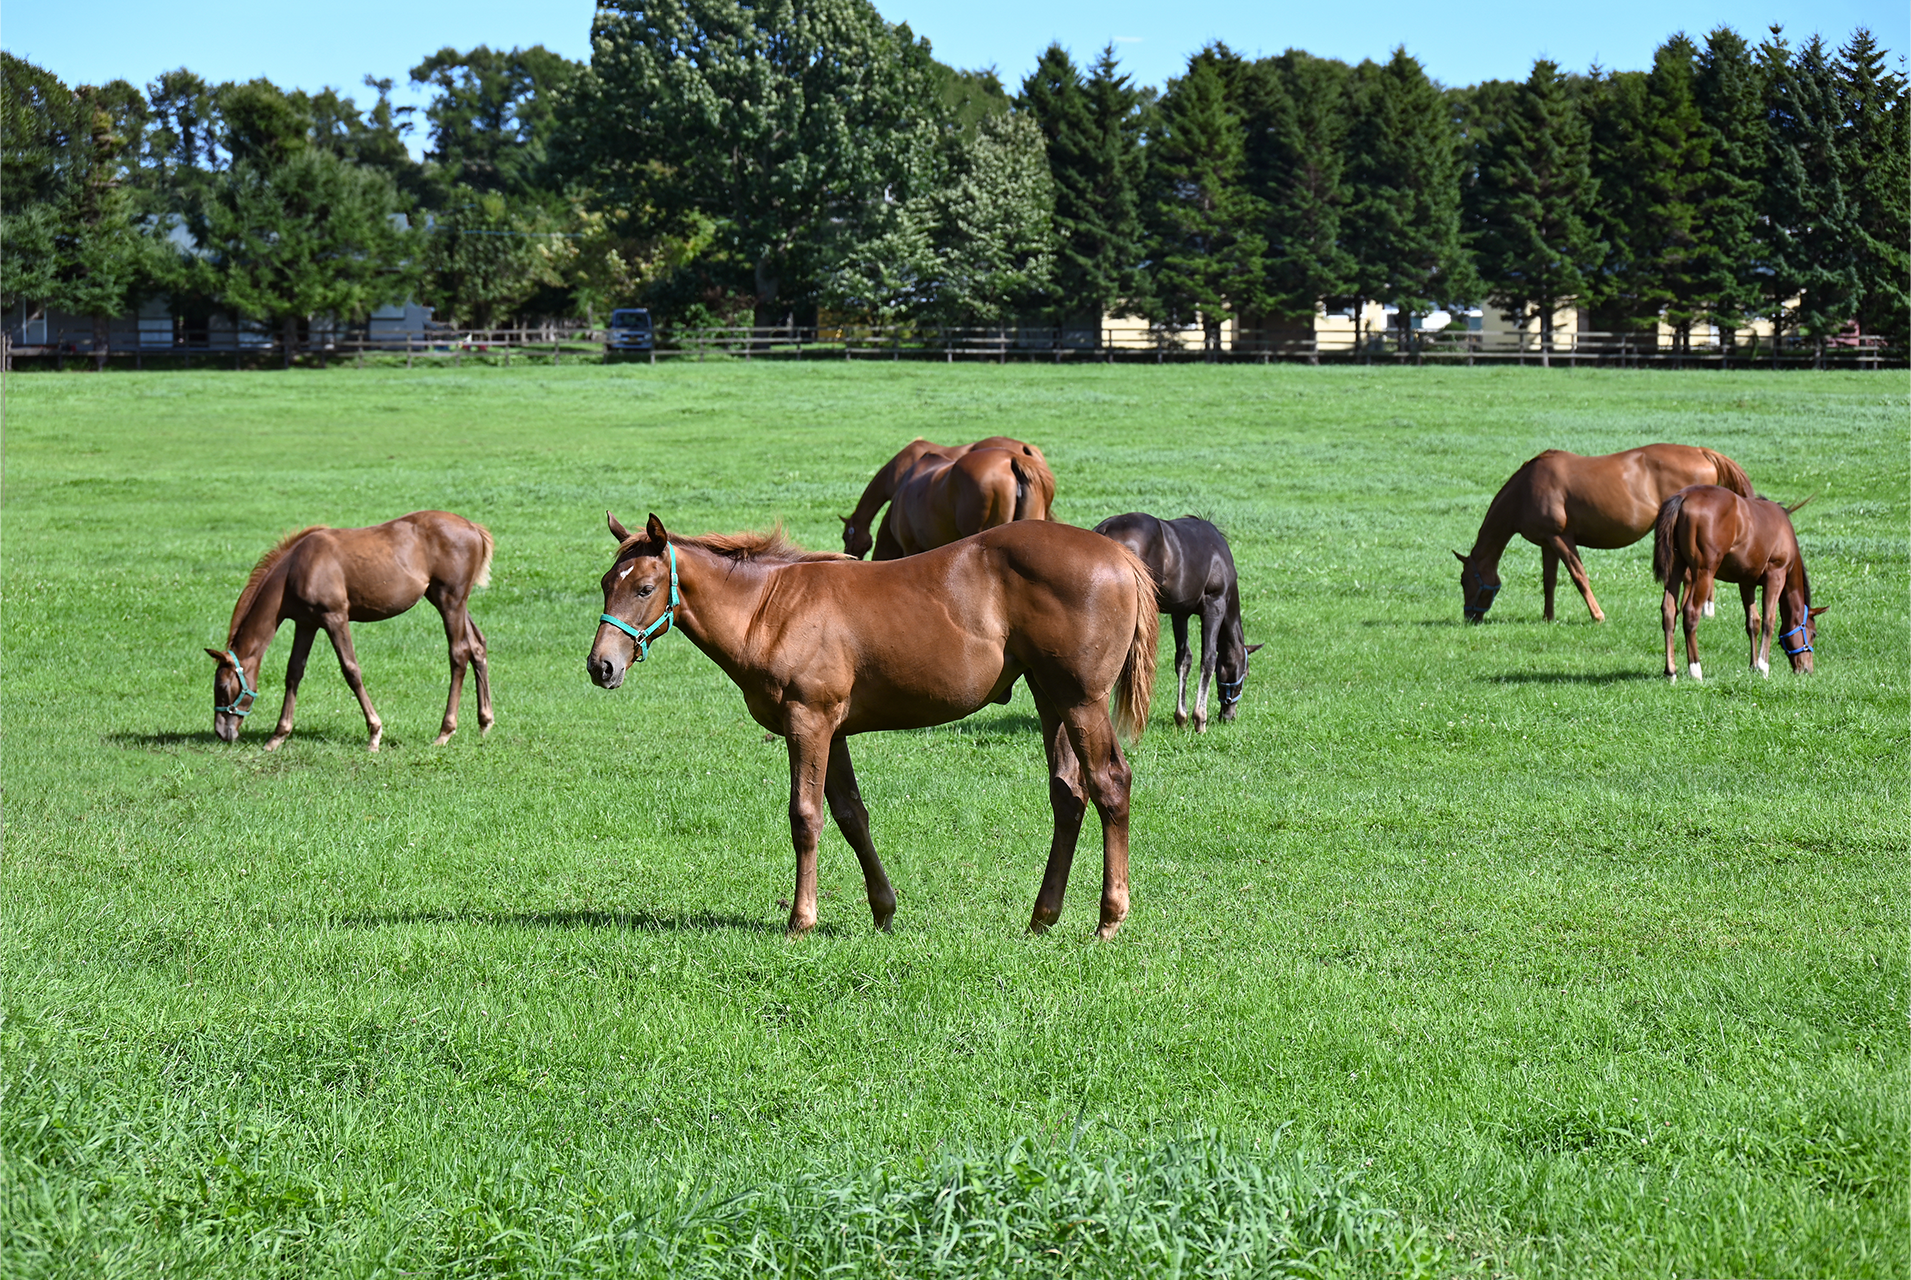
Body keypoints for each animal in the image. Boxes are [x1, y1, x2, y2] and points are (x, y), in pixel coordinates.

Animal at [206, 511, 494, 752]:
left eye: (222, 686)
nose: (221, 732)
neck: (295, 569)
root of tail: (472, 527)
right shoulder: (306, 623)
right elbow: (294, 672)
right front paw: (278, 736)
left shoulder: (335, 618)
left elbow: (351, 670)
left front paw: (374, 733)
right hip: (446, 600)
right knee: (477, 646)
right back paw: (485, 722)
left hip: (450, 601)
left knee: (459, 653)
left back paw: (445, 731)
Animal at [587, 513, 1156, 939]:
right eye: (606, 584)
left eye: (644, 588)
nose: (601, 666)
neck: (771, 610)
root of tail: (1119, 557)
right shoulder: (833, 731)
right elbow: (850, 815)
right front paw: (883, 910)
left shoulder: (808, 723)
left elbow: (805, 817)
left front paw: (802, 920)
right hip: (1049, 697)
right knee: (1068, 795)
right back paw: (1042, 917)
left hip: (1080, 701)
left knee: (1110, 784)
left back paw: (1108, 919)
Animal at [1094, 513, 1261, 731]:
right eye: (1246, 673)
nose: (1228, 715)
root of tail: (1105, 530)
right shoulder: (1214, 606)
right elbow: (1208, 659)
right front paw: (1200, 719)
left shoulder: (1180, 613)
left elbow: (1183, 659)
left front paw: (1181, 718)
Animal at [1455, 444, 1755, 623]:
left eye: (1464, 581)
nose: (1470, 616)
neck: (1526, 489)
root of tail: (1702, 452)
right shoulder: (1547, 543)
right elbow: (1549, 581)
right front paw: (1548, 618)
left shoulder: (1561, 539)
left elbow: (1579, 576)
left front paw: (1597, 615)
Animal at [1652, 485, 1824, 683]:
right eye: (1813, 634)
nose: (1807, 670)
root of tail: (1684, 496)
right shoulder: (1775, 576)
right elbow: (1769, 620)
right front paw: (1763, 666)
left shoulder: (1746, 583)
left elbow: (1753, 622)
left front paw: (1753, 665)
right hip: (1704, 573)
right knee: (1690, 613)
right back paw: (1695, 669)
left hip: (1676, 568)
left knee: (1669, 611)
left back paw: (1671, 671)